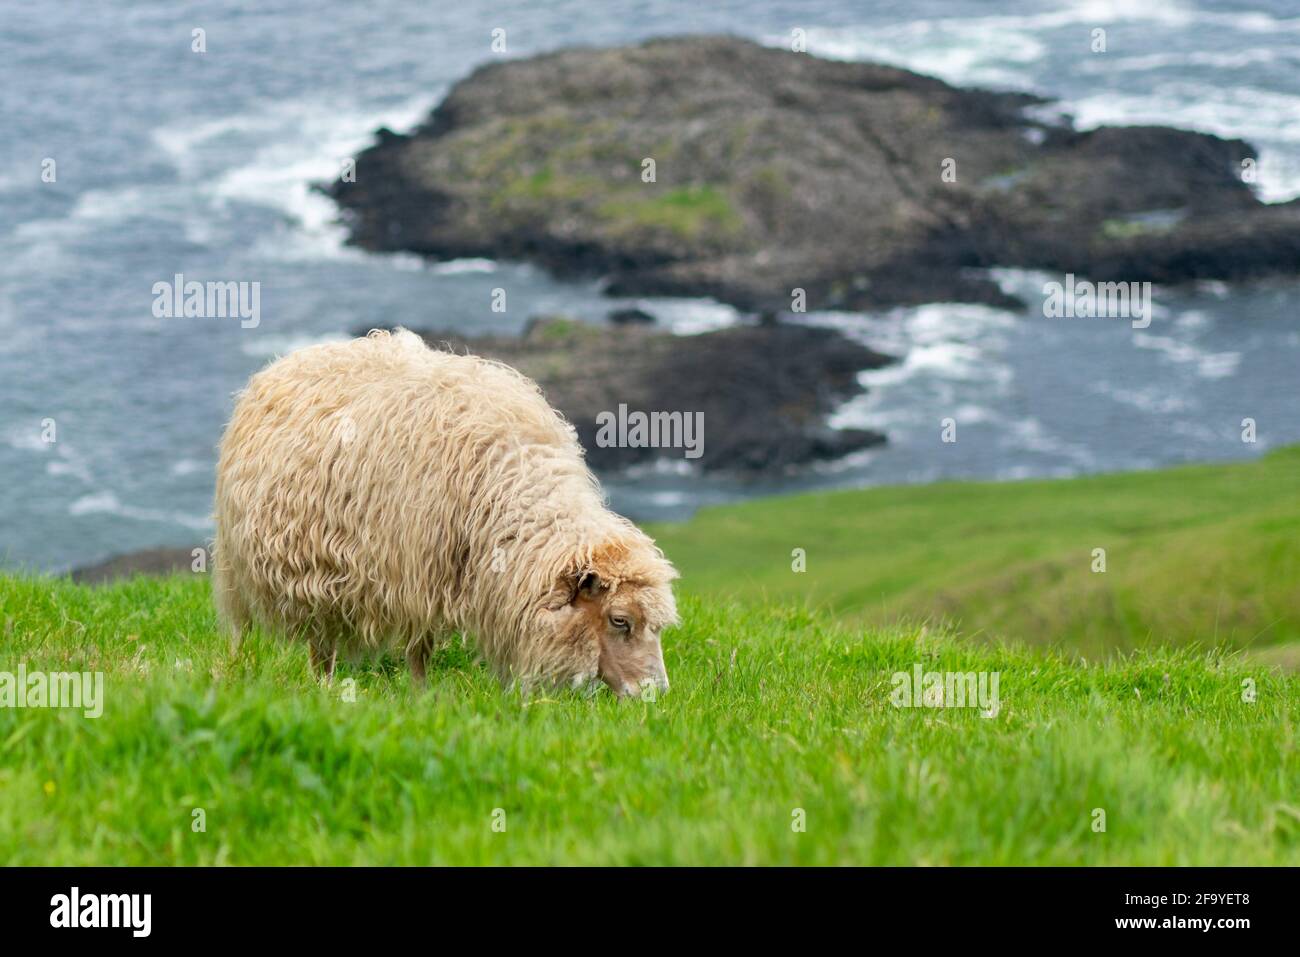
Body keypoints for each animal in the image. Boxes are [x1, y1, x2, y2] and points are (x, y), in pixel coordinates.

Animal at [210, 328, 681, 696]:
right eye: (620, 620)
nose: (655, 695)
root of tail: (296, 357)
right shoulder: (415, 571)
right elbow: (419, 650)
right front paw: (422, 700)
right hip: (259, 567)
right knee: (277, 636)